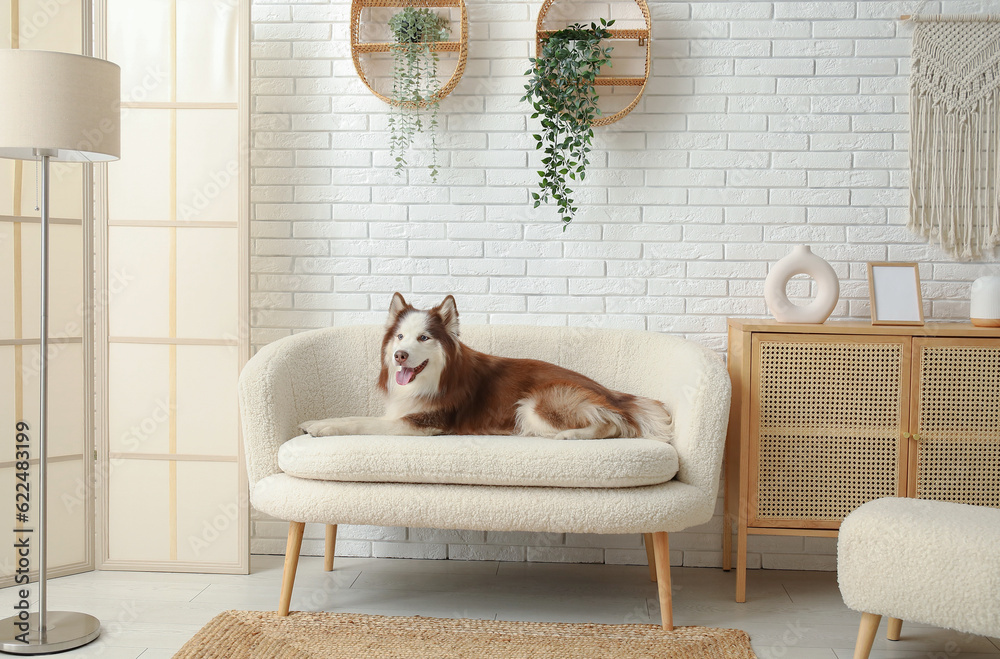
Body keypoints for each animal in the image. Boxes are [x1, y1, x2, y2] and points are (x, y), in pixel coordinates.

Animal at [296, 296, 672, 444]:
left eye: (424, 337)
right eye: (400, 337)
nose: (401, 355)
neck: (435, 377)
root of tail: (612, 394)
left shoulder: (426, 424)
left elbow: (359, 421)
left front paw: (321, 426)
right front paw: (316, 421)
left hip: (534, 406)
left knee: (612, 425)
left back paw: (571, 436)